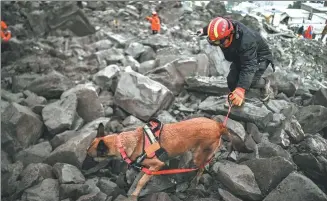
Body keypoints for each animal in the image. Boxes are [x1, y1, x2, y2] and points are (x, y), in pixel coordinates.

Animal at [87, 117, 254, 199]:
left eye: (89, 156)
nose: (85, 168)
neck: (123, 142)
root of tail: (219, 125)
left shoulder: (157, 165)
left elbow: (141, 181)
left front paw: (135, 193)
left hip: (198, 155)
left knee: (202, 166)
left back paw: (195, 179)